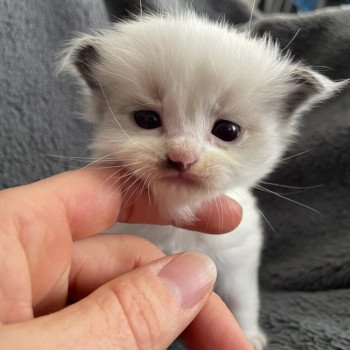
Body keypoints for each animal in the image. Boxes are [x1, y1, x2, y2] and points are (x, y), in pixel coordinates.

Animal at [60, 12, 344, 348]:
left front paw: (248, 335)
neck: (179, 220)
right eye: (146, 119)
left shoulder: (238, 260)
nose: (181, 157)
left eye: (228, 131)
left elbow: (242, 300)